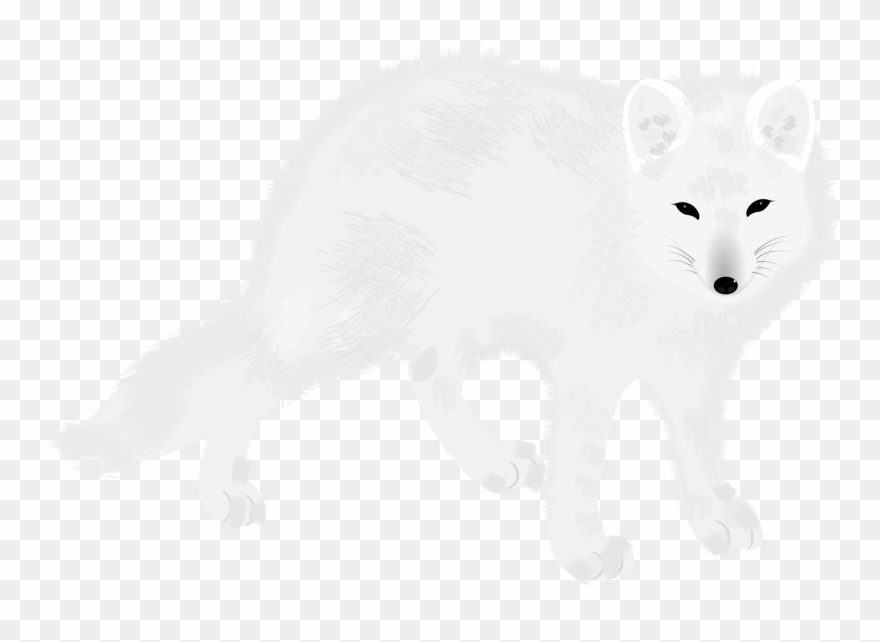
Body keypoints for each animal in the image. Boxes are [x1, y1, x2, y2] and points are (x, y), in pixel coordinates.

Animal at [54, 53, 836, 583]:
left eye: (757, 207)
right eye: (687, 209)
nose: (726, 282)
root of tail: (320, 150)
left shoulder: (690, 372)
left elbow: (699, 458)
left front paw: (714, 520)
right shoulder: (588, 371)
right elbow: (579, 475)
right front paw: (581, 553)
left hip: (455, 323)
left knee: (425, 383)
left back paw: (489, 463)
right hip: (362, 319)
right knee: (251, 378)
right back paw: (221, 490)